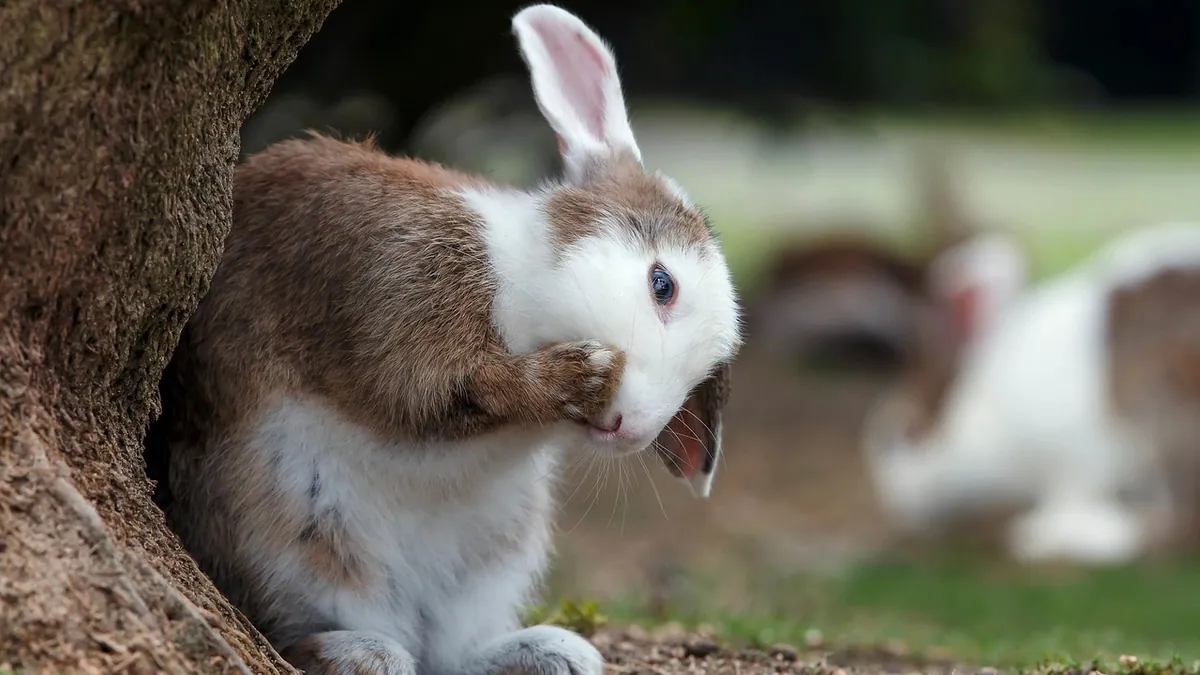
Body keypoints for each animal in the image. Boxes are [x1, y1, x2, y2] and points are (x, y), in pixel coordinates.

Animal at [151, 5, 742, 675]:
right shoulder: (399, 303)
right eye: (661, 285)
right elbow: (441, 391)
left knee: (452, 652)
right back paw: (361, 653)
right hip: (296, 537)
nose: (630, 429)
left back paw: (555, 653)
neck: (519, 275)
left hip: (489, 561)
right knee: (299, 625)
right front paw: (579, 372)